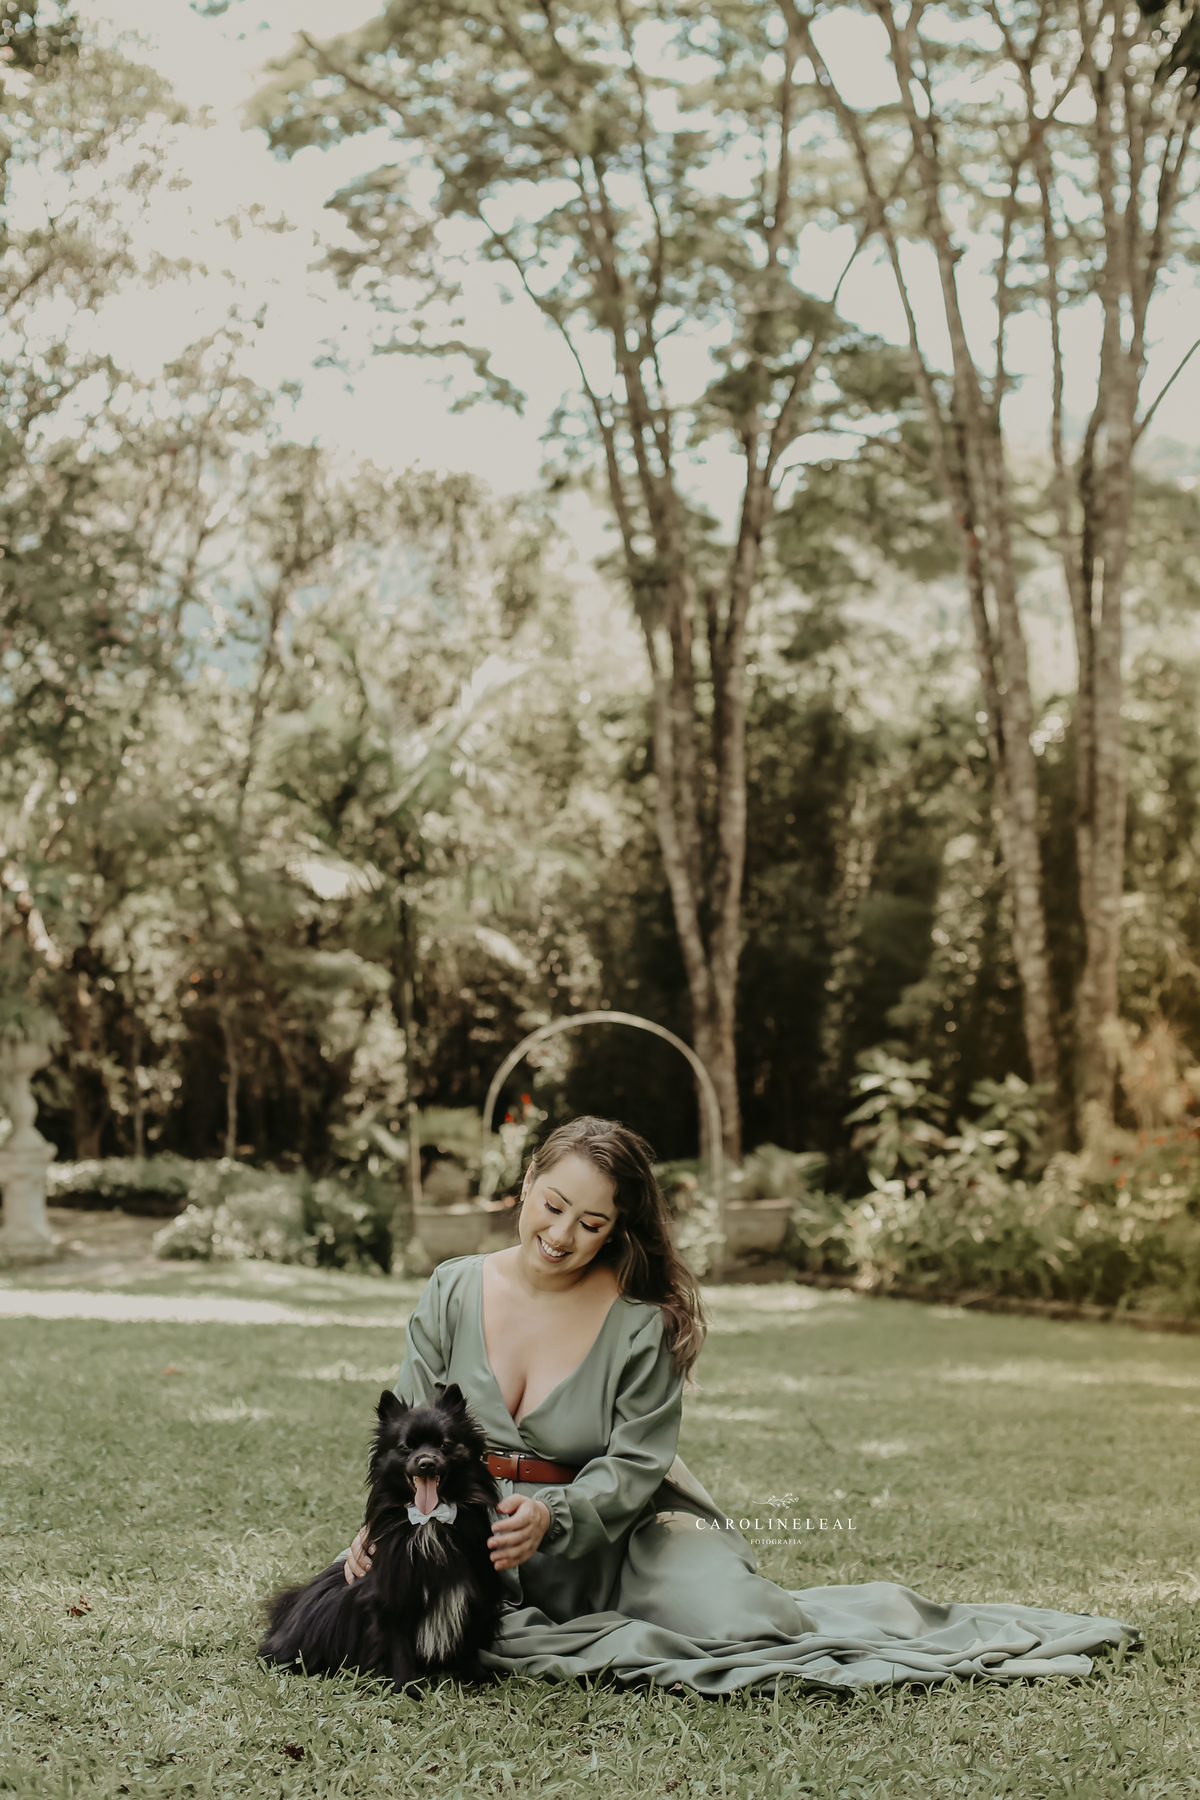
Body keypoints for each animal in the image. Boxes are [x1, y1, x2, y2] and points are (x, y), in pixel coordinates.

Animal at [258, 1384, 504, 1691]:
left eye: (444, 1446)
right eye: (405, 1448)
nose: (426, 1462)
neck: (429, 1522)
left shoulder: (471, 1596)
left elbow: (468, 1644)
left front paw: (477, 1679)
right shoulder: (391, 1601)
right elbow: (398, 1650)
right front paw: (406, 1689)